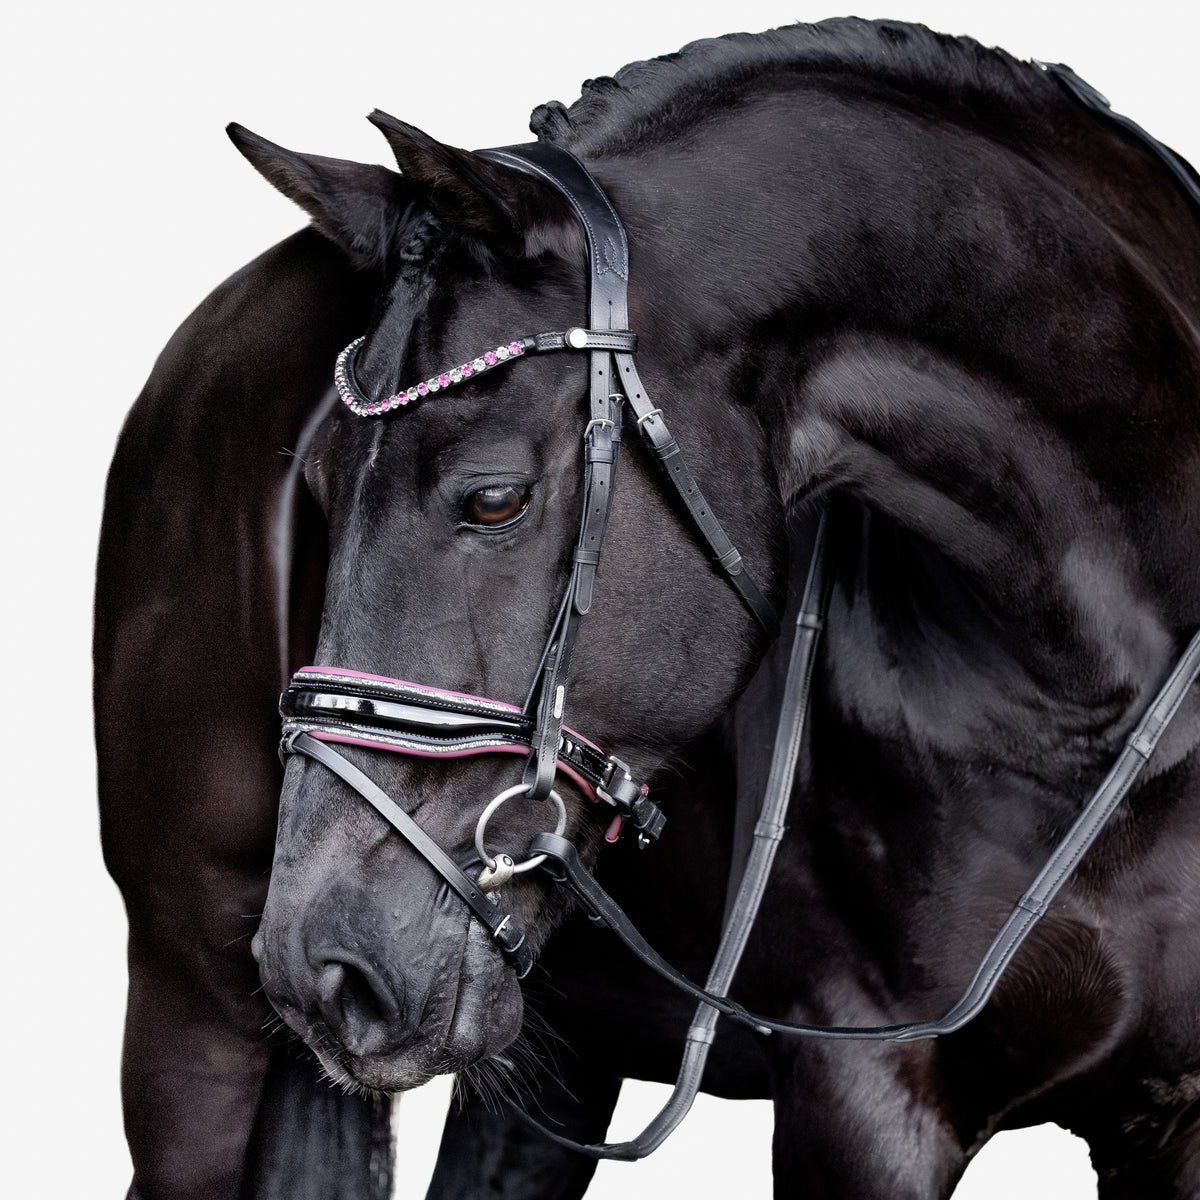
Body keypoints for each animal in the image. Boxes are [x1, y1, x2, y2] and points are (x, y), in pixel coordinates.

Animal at [94, 17, 1200, 1200]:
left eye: (495, 498)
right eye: (317, 483)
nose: (325, 967)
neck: (1087, 704)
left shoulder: (1168, 1118)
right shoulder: (863, 1108)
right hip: (191, 1008)